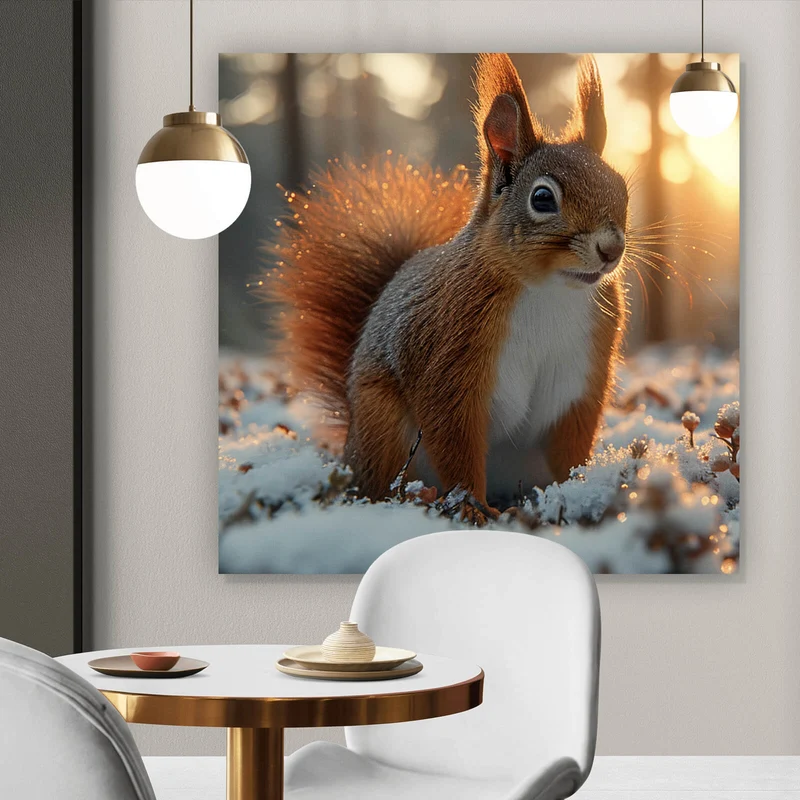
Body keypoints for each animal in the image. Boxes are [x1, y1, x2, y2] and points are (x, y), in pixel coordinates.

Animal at [263, 53, 629, 519]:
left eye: (622, 188)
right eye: (543, 198)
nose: (611, 248)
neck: (551, 291)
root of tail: (350, 451)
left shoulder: (580, 377)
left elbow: (572, 441)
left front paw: (578, 490)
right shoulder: (448, 355)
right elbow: (453, 435)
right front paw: (472, 507)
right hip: (384, 428)